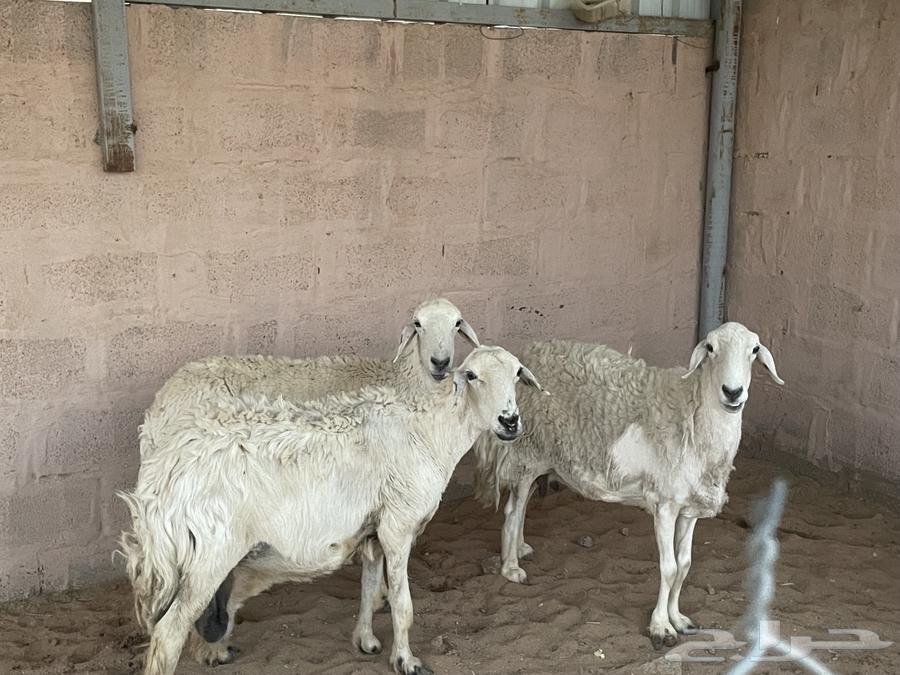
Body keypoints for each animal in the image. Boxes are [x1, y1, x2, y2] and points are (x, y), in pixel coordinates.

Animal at [119, 345, 544, 675]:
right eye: (472, 375)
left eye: (517, 374)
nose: (510, 421)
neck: (430, 432)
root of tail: (165, 474)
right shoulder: (398, 524)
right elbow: (403, 605)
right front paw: (406, 660)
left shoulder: (372, 530)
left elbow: (369, 588)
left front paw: (366, 640)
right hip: (210, 553)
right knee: (168, 634)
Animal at [472, 322, 783, 650]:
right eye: (710, 348)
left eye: (754, 350)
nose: (732, 392)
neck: (692, 411)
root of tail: (527, 357)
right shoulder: (665, 505)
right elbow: (669, 568)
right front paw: (660, 626)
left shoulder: (688, 508)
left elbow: (685, 565)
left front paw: (679, 618)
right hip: (525, 453)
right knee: (512, 511)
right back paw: (510, 567)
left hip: (546, 459)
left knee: (522, 506)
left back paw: (520, 547)